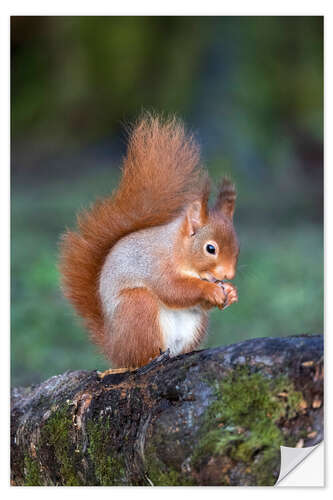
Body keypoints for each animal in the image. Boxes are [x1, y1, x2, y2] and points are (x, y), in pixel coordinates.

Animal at [58, 115, 237, 370]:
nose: (229, 274)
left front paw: (230, 292)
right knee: (139, 356)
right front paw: (210, 289)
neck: (177, 249)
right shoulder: (157, 265)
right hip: (138, 308)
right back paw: (151, 358)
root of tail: (114, 347)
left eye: (237, 247)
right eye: (210, 248)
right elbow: (173, 289)